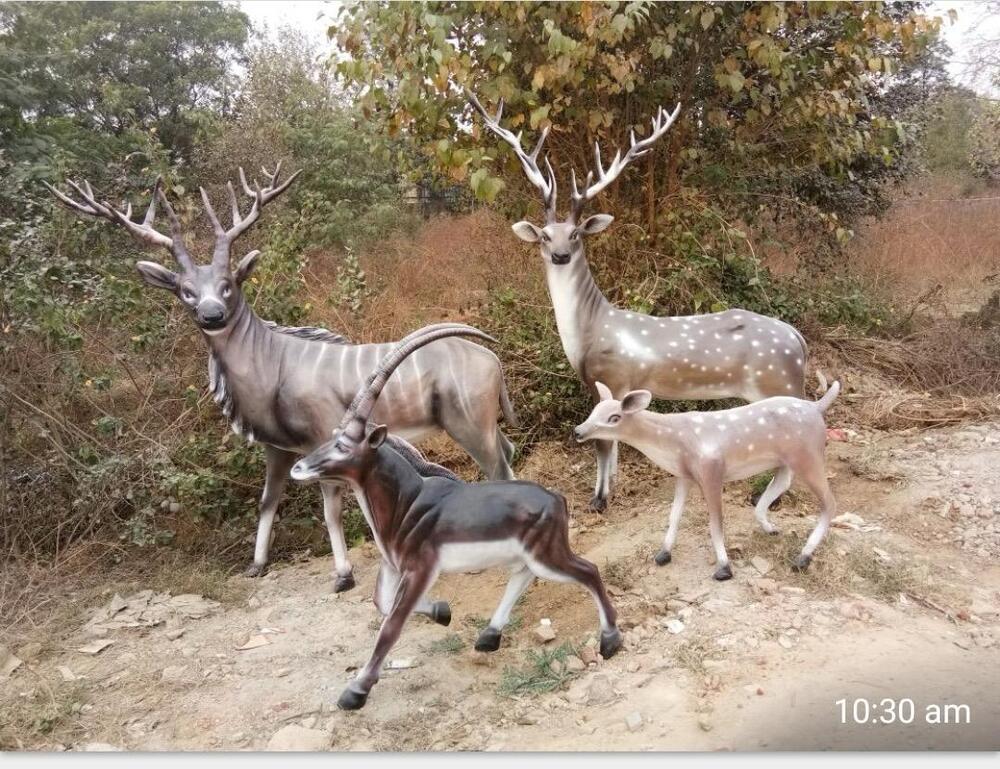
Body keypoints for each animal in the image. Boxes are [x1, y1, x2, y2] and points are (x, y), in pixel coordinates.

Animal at [45, 168, 518, 592]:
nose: (212, 315)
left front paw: (343, 576)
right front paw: (256, 566)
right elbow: (267, 500)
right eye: (185, 291)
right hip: (482, 424)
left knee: (496, 466)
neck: (272, 367)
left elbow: (330, 508)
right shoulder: (276, 448)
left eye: (228, 284)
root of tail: (493, 359)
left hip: (468, 424)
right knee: (508, 455)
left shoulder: (321, 441)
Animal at [290, 322, 624, 710]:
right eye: (331, 438)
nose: (299, 468)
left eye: (344, 445)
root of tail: (557, 499)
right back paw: (489, 636)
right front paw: (442, 612)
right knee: (523, 576)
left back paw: (610, 641)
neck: (408, 501)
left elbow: (392, 625)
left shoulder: (420, 568)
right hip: (530, 557)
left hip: (548, 555)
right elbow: (382, 604)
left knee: (588, 571)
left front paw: (354, 692)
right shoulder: (393, 567)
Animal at [469, 92, 809, 513]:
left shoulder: (613, 376)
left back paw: (768, 498)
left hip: (778, 379)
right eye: (545, 235)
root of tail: (799, 340)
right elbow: (612, 442)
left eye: (576, 234)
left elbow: (602, 442)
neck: (590, 332)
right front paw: (609, 489)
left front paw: (599, 500)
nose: (561, 255)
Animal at [574, 380, 841, 580]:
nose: (578, 431)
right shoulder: (684, 475)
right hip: (785, 460)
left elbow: (715, 522)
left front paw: (724, 568)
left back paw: (802, 558)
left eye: (614, 417)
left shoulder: (711, 470)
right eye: (594, 411)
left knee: (829, 503)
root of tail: (816, 407)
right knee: (782, 485)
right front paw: (663, 554)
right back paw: (771, 528)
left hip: (809, 455)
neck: (674, 443)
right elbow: (674, 516)